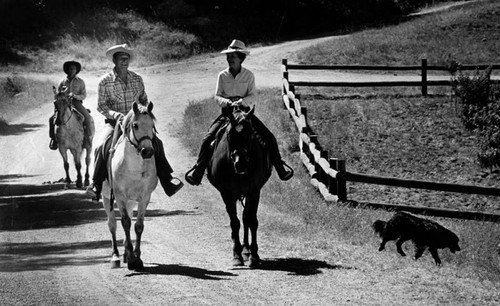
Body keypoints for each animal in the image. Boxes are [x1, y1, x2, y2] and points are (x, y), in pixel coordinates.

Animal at [103, 101, 160, 270]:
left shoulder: (144, 197)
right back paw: (115, 256)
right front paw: (131, 259)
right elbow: (125, 223)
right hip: (106, 197)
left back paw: (125, 255)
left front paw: (137, 258)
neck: (133, 166)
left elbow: (138, 226)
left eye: (152, 125)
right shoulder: (120, 197)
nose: (147, 151)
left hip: (130, 201)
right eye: (135, 125)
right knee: (112, 224)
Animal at [205, 106, 272, 268]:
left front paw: (254, 256)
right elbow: (234, 223)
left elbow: (251, 220)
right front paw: (236, 255)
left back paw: (247, 251)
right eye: (230, 134)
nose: (240, 163)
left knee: (246, 218)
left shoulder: (254, 191)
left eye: (249, 134)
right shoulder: (227, 193)